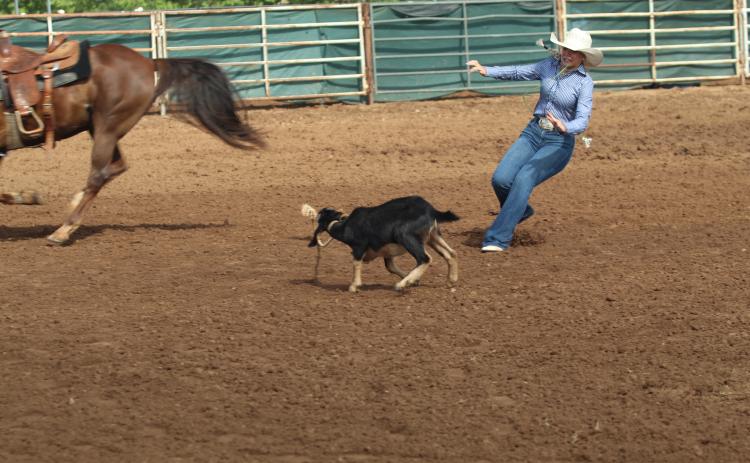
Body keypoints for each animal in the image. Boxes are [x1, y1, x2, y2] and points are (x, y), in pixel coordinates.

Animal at [0, 34, 264, 245]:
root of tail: (149, 62)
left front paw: (28, 197)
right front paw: (28, 196)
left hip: (108, 127)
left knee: (98, 174)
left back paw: (64, 229)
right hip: (101, 129)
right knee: (115, 167)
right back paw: (74, 204)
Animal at [305, 196, 459, 292]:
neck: (345, 225)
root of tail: (431, 210)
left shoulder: (359, 246)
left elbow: (356, 263)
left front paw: (354, 286)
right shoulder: (387, 253)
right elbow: (390, 267)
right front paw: (415, 281)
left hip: (406, 236)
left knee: (425, 258)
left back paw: (401, 285)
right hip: (433, 236)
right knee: (451, 253)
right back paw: (451, 281)